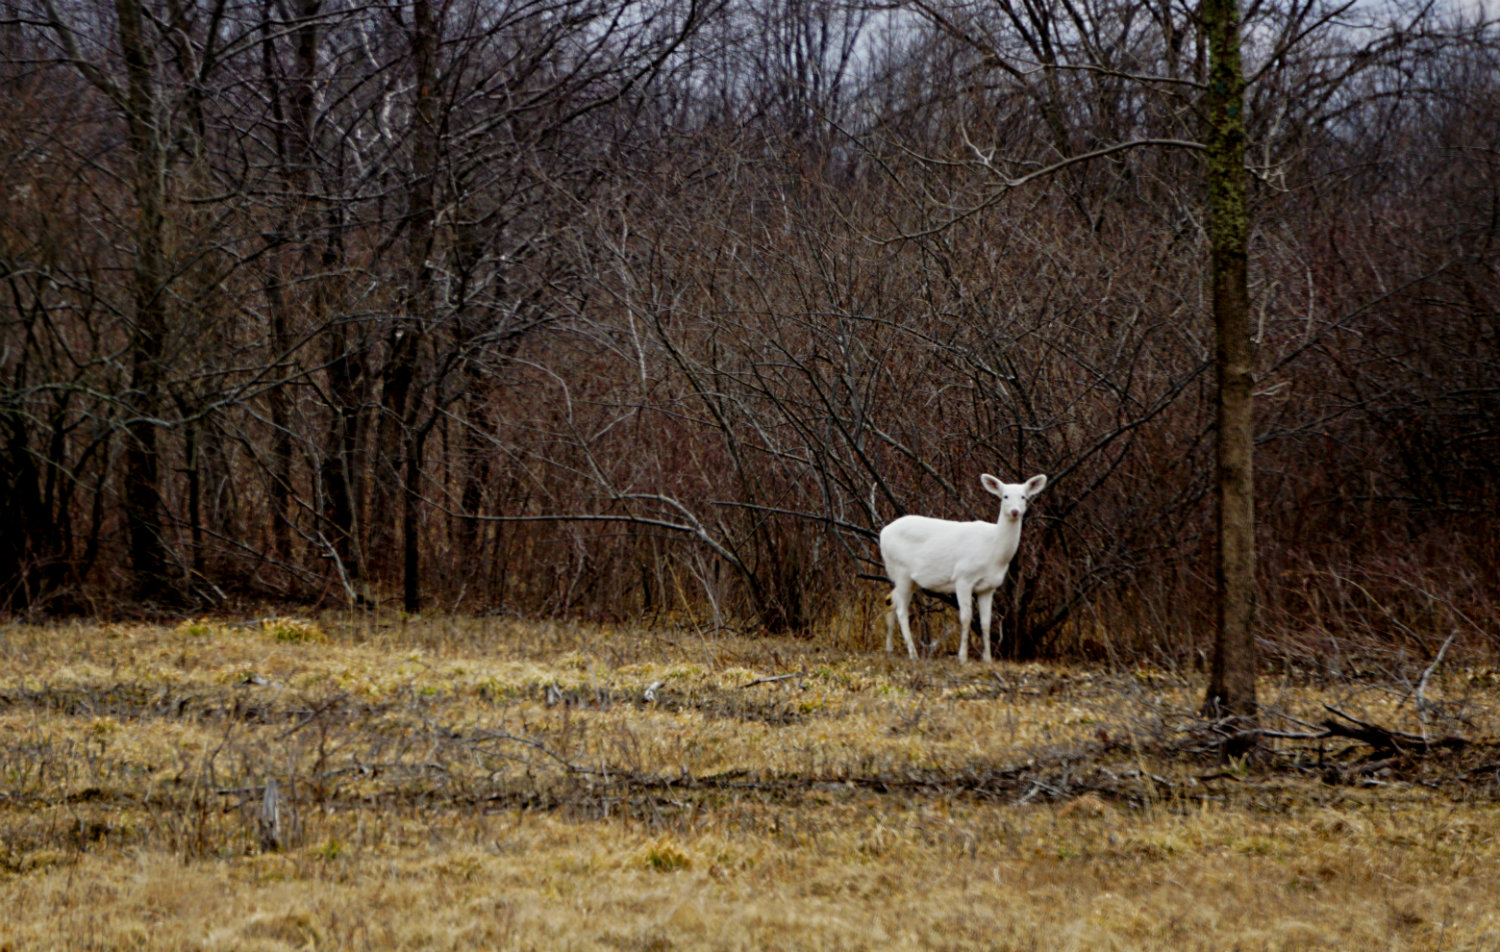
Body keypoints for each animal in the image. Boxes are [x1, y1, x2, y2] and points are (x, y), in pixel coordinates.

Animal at [880, 474, 1047, 663]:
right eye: (1005, 496)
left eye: (1024, 497)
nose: (1014, 511)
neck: (993, 551)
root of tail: (882, 534)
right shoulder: (963, 577)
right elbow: (966, 617)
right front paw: (962, 657)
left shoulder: (989, 587)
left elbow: (985, 622)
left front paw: (988, 658)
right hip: (901, 571)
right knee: (901, 610)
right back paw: (913, 654)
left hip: (908, 578)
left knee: (890, 599)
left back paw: (889, 650)